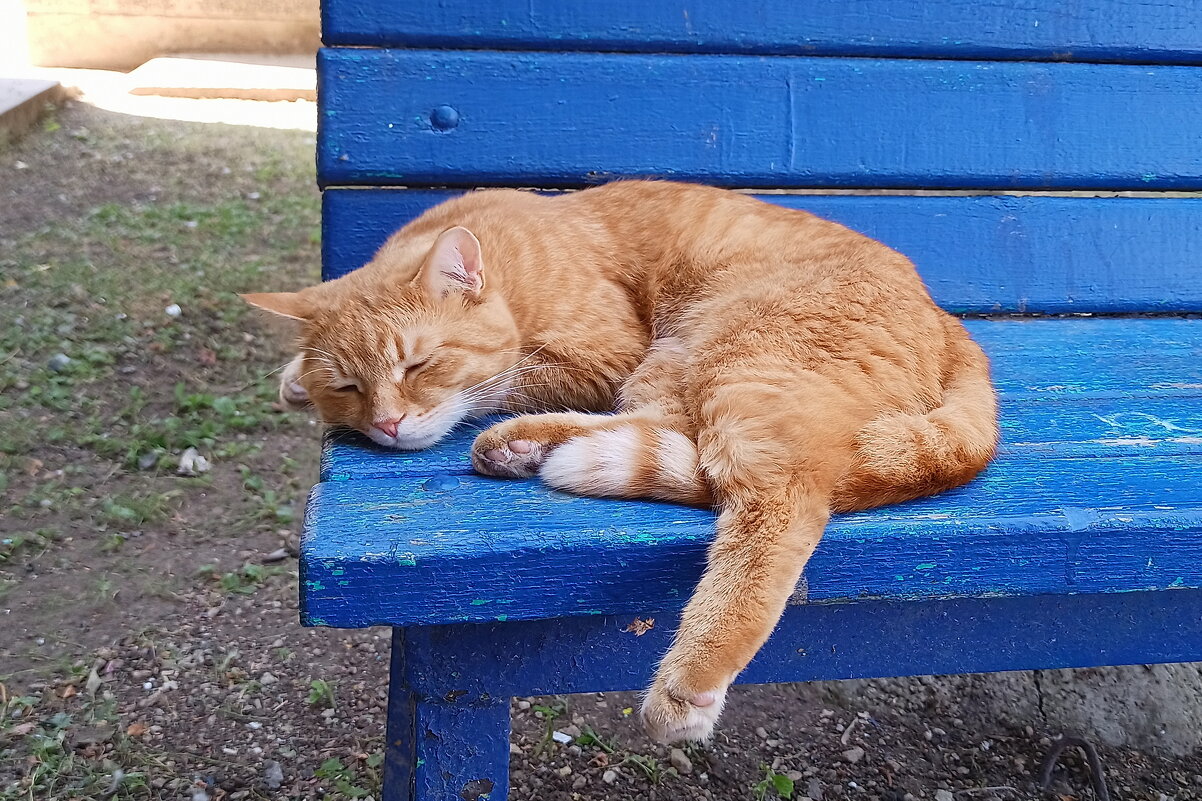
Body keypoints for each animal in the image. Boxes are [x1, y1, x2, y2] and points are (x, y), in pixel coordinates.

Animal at [241, 178, 995, 740]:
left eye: (418, 364)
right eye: (348, 386)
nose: (388, 423)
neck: (507, 261)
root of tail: (947, 319)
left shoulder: (606, 357)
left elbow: (507, 377)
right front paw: (293, 379)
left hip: (723, 353)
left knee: (772, 493)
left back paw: (688, 681)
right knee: (697, 455)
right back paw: (529, 447)